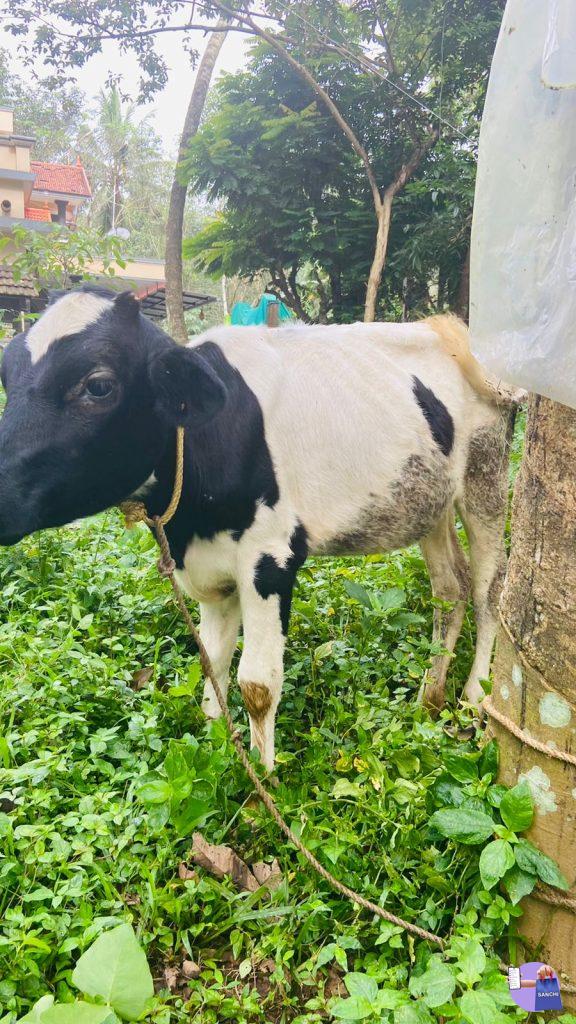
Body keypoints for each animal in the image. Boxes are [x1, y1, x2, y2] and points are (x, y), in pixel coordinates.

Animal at [0, 285, 517, 770]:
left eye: (99, 385)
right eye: (7, 373)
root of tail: (447, 327)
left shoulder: (270, 558)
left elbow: (257, 683)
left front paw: (262, 783)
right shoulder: (211, 571)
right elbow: (213, 664)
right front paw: (217, 753)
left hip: (486, 475)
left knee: (487, 589)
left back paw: (473, 698)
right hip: (429, 502)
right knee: (449, 588)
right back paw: (429, 698)